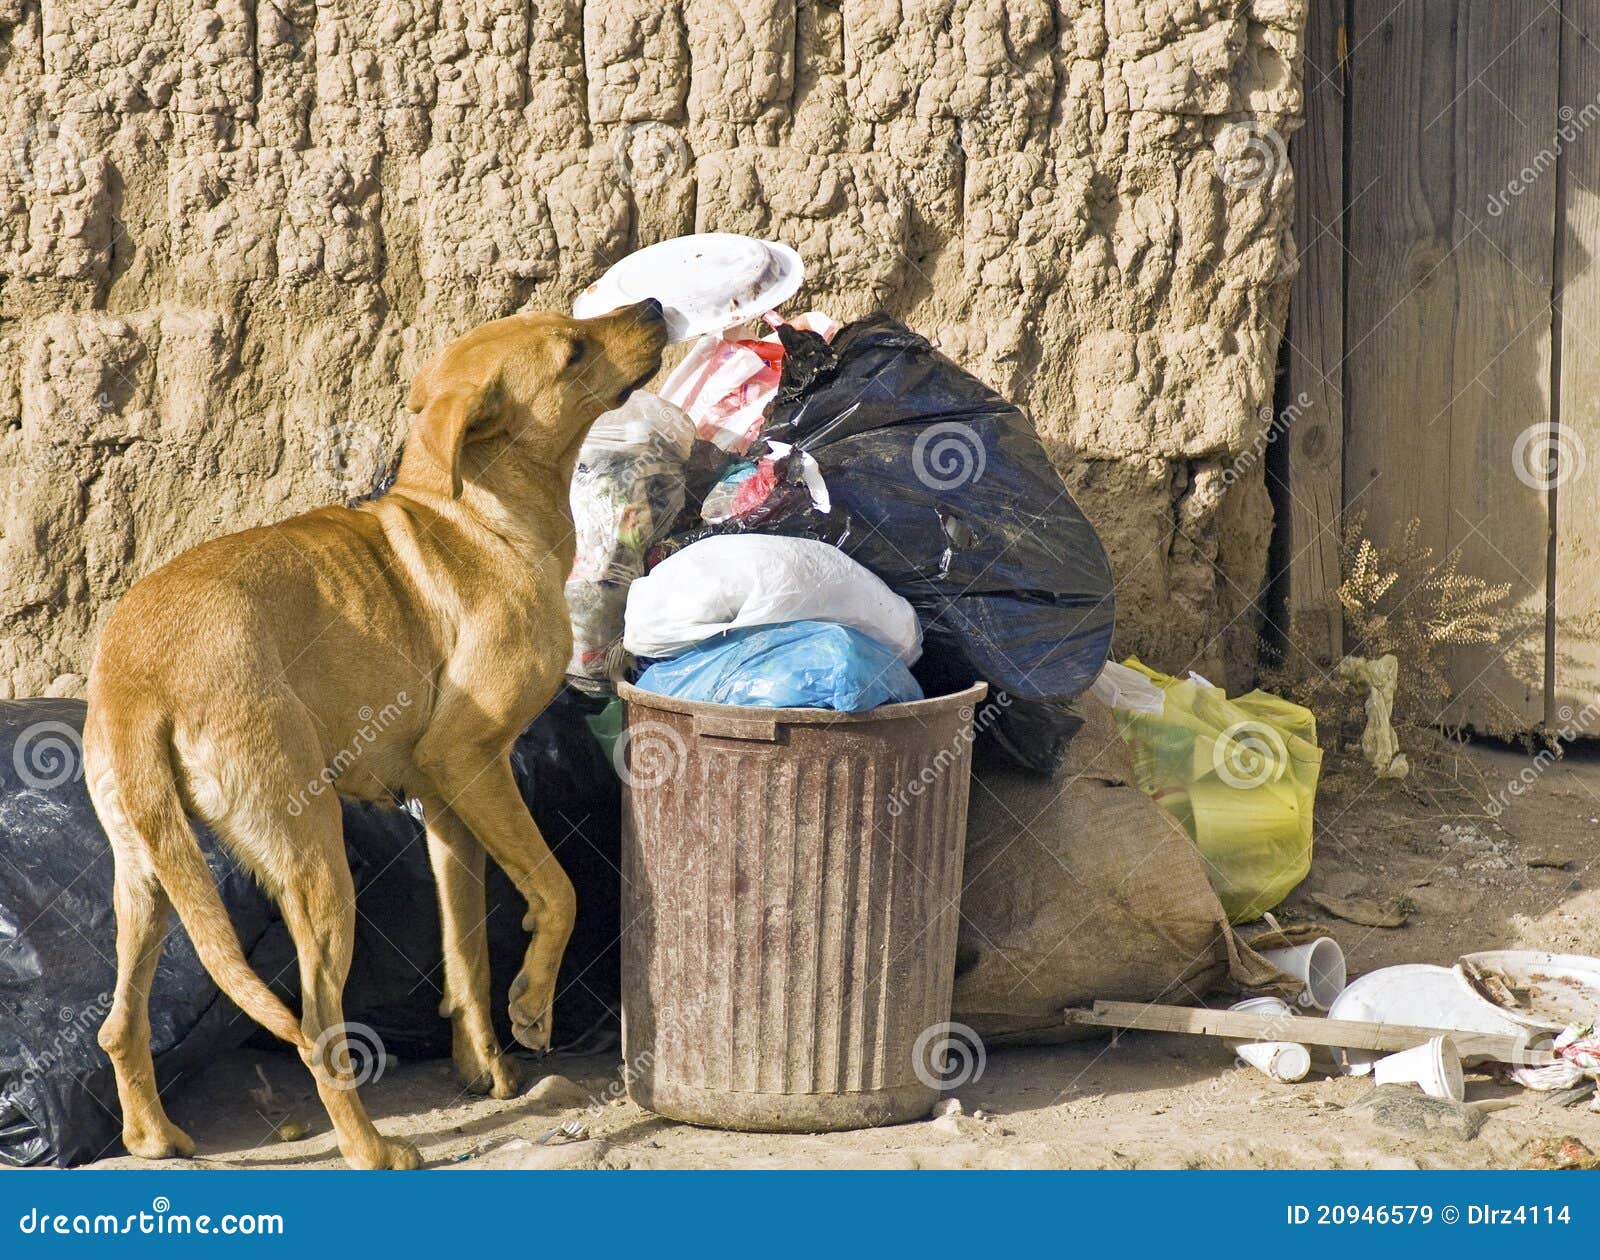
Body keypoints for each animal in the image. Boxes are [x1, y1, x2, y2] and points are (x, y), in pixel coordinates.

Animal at [79, 300, 668, 1164]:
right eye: (573, 349)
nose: (654, 307)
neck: (475, 513)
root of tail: (137, 679)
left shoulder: (449, 802)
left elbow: (466, 953)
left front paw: (483, 1063)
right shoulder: (470, 760)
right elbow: (556, 890)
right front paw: (532, 1005)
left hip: (146, 878)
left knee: (119, 1024)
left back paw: (153, 1136)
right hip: (315, 862)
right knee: (317, 1031)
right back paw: (372, 1149)